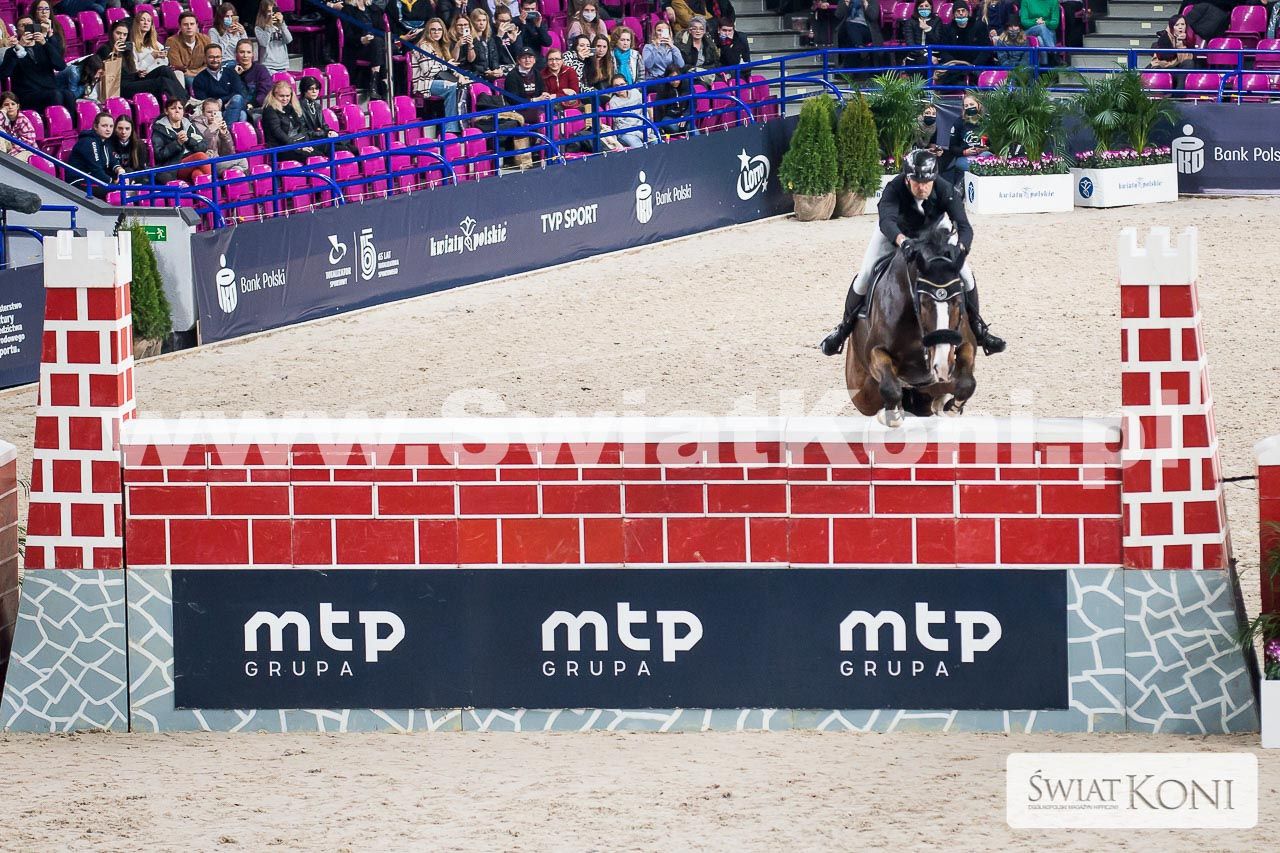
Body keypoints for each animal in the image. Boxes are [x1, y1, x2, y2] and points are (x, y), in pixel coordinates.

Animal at [843, 226, 977, 427]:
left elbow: (967, 382)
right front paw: (893, 416)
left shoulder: (964, 343)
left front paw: (952, 408)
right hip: (862, 392)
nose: (942, 367)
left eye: (958, 301)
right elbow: (890, 388)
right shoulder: (875, 351)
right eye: (923, 303)